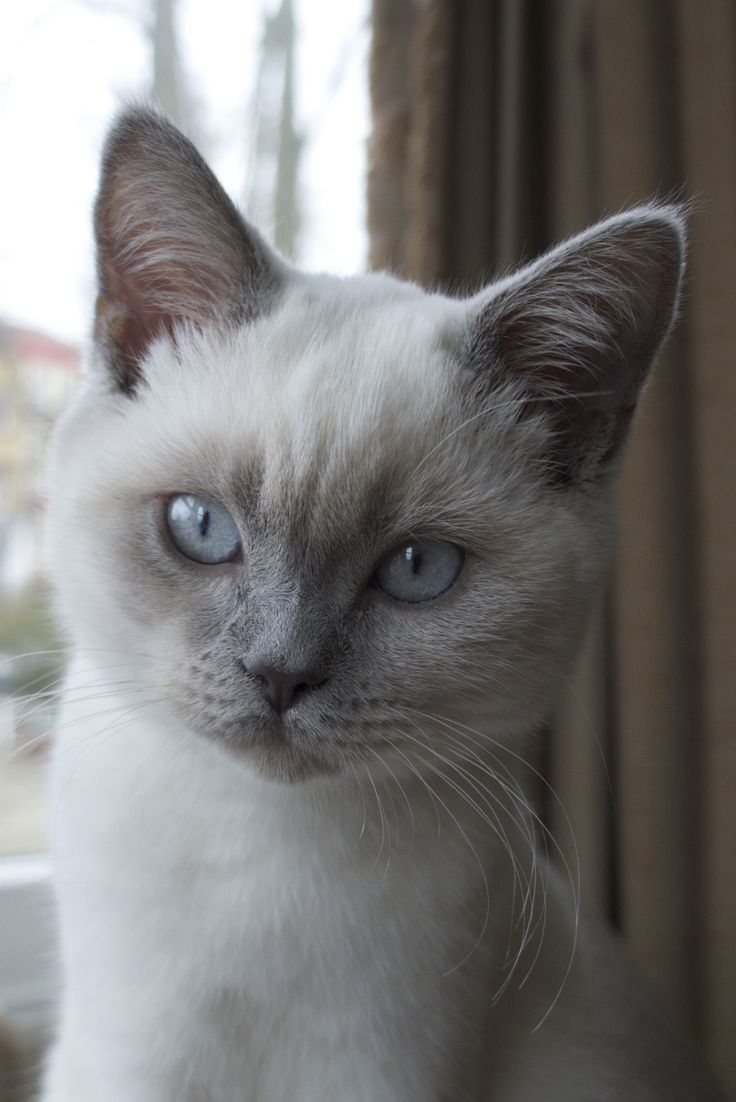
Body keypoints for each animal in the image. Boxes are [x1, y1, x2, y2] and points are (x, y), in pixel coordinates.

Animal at [38, 109, 718, 1102]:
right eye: (202, 527)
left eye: (417, 569)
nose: (280, 675)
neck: (264, 853)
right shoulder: (129, 1060)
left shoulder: (379, 1070)